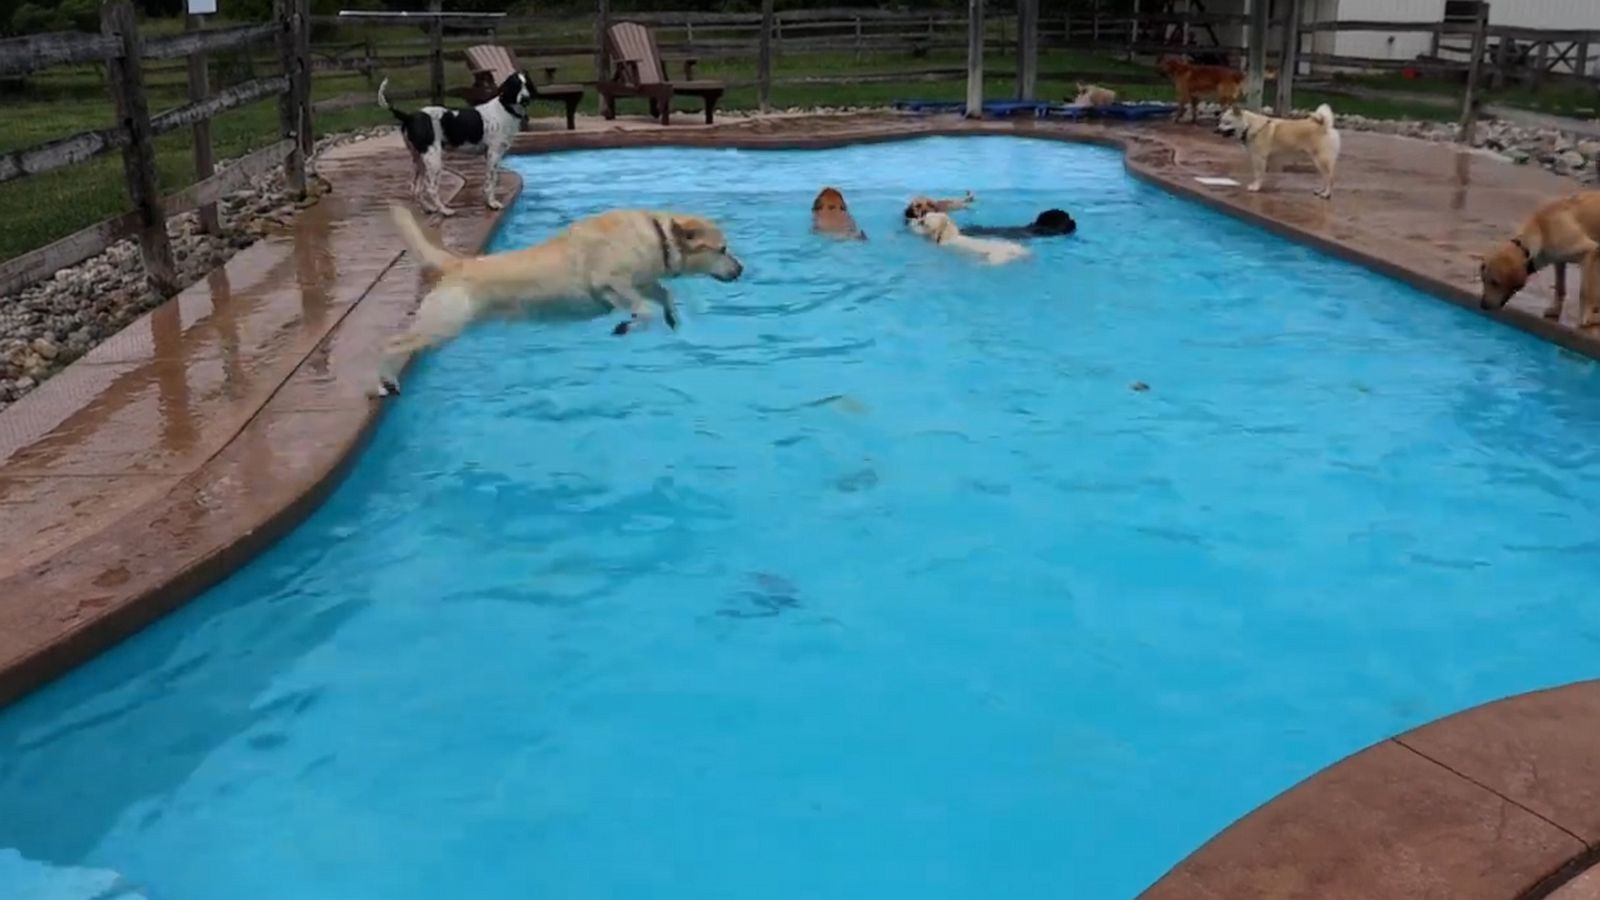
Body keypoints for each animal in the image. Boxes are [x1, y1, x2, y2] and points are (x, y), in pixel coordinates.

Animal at [376, 71, 528, 216]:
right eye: (516, 85)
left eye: (526, 84)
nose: (526, 98)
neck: (505, 108)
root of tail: (409, 117)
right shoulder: (494, 154)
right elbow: (492, 181)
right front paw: (492, 203)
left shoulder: (489, 155)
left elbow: (488, 181)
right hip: (434, 161)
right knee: (430, 188)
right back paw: (444, 210)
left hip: (419, 161)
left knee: (415, 189)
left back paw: (428, 208)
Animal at [379, 208, 742, 397]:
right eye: (723, 250)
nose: (741, 270)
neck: (656, 236)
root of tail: (457, 264)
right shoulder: (611, 283)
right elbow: (644, 311)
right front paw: (626, 325)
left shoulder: (643, 281)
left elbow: (664, 296)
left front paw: (672, 319)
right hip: (444, 326)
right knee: (391, 344)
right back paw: (382, 381)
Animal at [1216, 103, 1344, 197]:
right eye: (1220, 121)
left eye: (1227, 123)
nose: (1216, 130)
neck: (1249, 126)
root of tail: (1325, 125)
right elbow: (1261, 174)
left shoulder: (1258, 158)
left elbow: (1258, 174)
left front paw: (1256, 187)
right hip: (1318, 162)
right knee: (1325, 178)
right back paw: (1321, 191)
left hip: (1321, 161)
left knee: (1330, 178)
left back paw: (1326, 194)